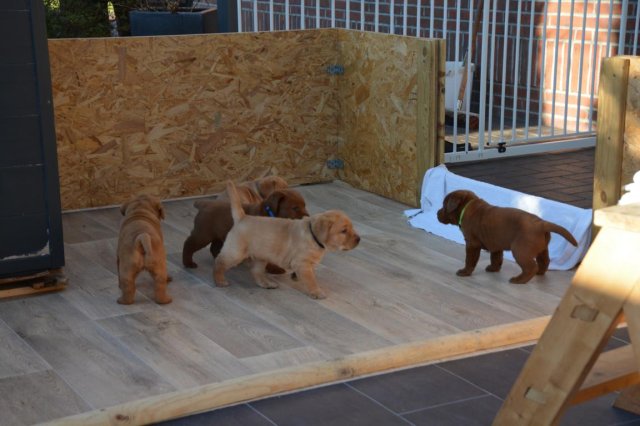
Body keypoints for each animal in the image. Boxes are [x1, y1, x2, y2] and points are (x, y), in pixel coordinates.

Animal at [213, 181, 360, 299]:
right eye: (343, 231)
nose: (359, 239)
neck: (313, 236)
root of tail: (242, 217)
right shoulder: (303, 263)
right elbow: (311, 280)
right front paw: (317, 292)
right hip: (235, 252)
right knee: (219, 262)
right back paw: (219, 280)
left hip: (261, 255)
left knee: (256, 271)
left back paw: (267, 284)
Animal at [436, 189, 578, 284]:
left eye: (444, 205)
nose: (437, 213)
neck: (468, 206)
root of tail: (541, 223)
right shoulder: (496, 244)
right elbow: (496, 258)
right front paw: (493, 269)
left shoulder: (472, 244)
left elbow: (470, 260)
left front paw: (465, 272)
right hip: (542, 249)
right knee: (544, 261)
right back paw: (539, 273)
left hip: (520, 251)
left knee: (531, 267)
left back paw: (519, 280)